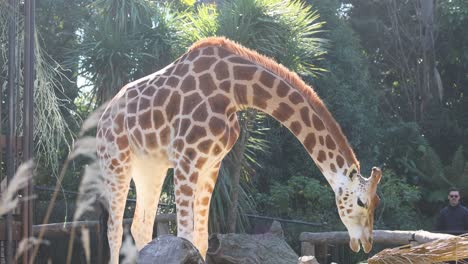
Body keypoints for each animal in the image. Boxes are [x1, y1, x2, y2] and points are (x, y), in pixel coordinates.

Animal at [97, 36, 382, 262]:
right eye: (361, 202)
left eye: (377, 202)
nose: (366, 242)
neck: (235, 90)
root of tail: (103, 117)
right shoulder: (187, 158)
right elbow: (186, 237)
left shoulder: (211, 164)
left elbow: (200, 240)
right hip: (116, 162)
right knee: (114, 229)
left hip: (150, 168)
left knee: (140, 226)